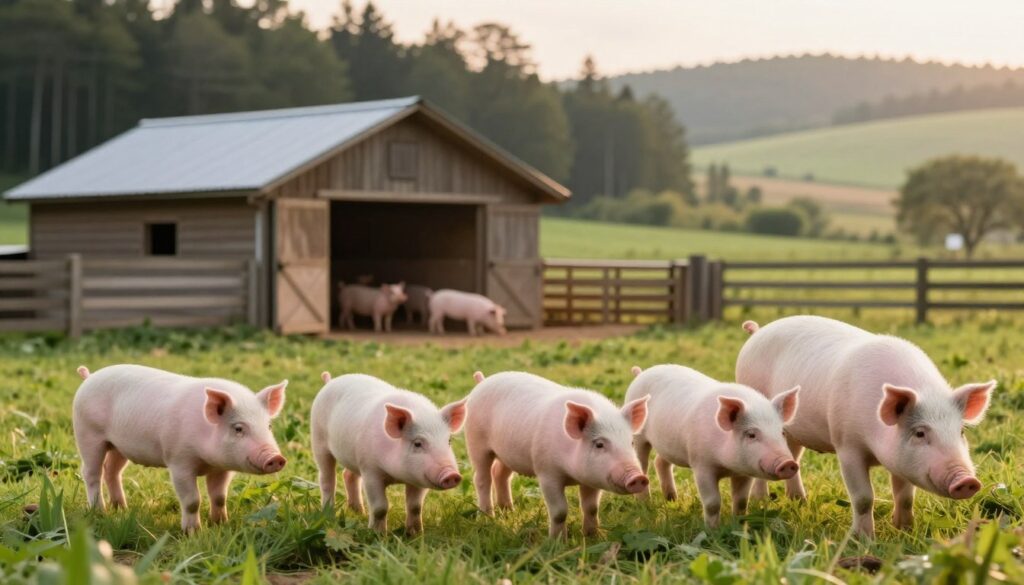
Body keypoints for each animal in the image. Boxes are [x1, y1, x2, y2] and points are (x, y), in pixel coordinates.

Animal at [71, 364, 287, 532]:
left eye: (268, 426)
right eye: (238, 428)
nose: (275, 458)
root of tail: (89, 376)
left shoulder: (222, 468)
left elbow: (219, 497)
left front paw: (220, 525)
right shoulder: (178, 461)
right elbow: (192, 500)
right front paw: (192, 532)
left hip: (119, 446)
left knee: (111, 470)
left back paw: (121, 508)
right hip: (87, 433)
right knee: (91, 472)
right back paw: (100, 511)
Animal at [310, 372, 467, 534]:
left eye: (449, 441)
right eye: (417, 443)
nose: (451, 474)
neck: (397, 477)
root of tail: (331, 381)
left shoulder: (419, 478)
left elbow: (415, 506)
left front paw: (415, 534)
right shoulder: (370, 470)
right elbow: (380, 507)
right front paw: (378, 534)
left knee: (348, 475)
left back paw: (359, 512)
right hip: (318, 439)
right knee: (327, 479)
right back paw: (329, 515)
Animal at [465, 371, 649, 538]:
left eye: (631, 443)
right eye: (599, 444)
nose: (638, 477)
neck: (572, 475)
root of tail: (483, 381)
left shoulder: (592, 479)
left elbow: (591, 508)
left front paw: (592, 537)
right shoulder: (546, 472)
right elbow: (560, 512)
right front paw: (558, 541)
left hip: (507, 453)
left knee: (500, 474)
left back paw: (509, 511)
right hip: (476, 442)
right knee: (482, 478)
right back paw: (487, 518)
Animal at [625, 365, 800, 528]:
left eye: (782, 432)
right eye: (751, 434)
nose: (788, 463)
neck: (728, 467)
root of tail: (642, 373)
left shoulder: (745, 471)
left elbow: (741, 501)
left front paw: (739, 525)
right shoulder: (701, 465)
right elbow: (712, 503)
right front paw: (712, 531)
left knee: (660, 462)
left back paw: (672, 499)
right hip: (638, 437)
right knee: (643, 464)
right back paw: (645, 505)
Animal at [736, 315, 996, 538]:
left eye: (961, 431)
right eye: (920, 433)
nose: (967, 481)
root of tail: (757, 331)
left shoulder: (899, 459)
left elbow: (905, 497)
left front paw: (904, 530)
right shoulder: (847, 445)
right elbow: (863, 498)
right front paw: (863, 539)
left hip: (793, 431)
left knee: (793, 458)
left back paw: (800, 501)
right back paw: (761, 501)